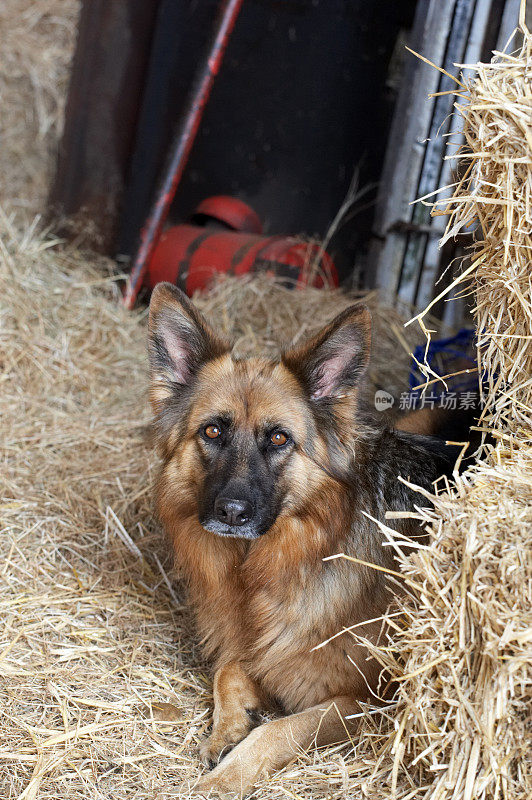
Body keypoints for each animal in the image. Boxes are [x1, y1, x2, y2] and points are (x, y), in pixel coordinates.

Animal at [147, 284, 462, 796]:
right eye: (212, 431)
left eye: (278, 439)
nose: (230, 513)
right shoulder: (259, 649)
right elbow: (228, 669)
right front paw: (228, 729)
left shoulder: (367, 701)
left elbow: (279, 728)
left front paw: (224, 777)